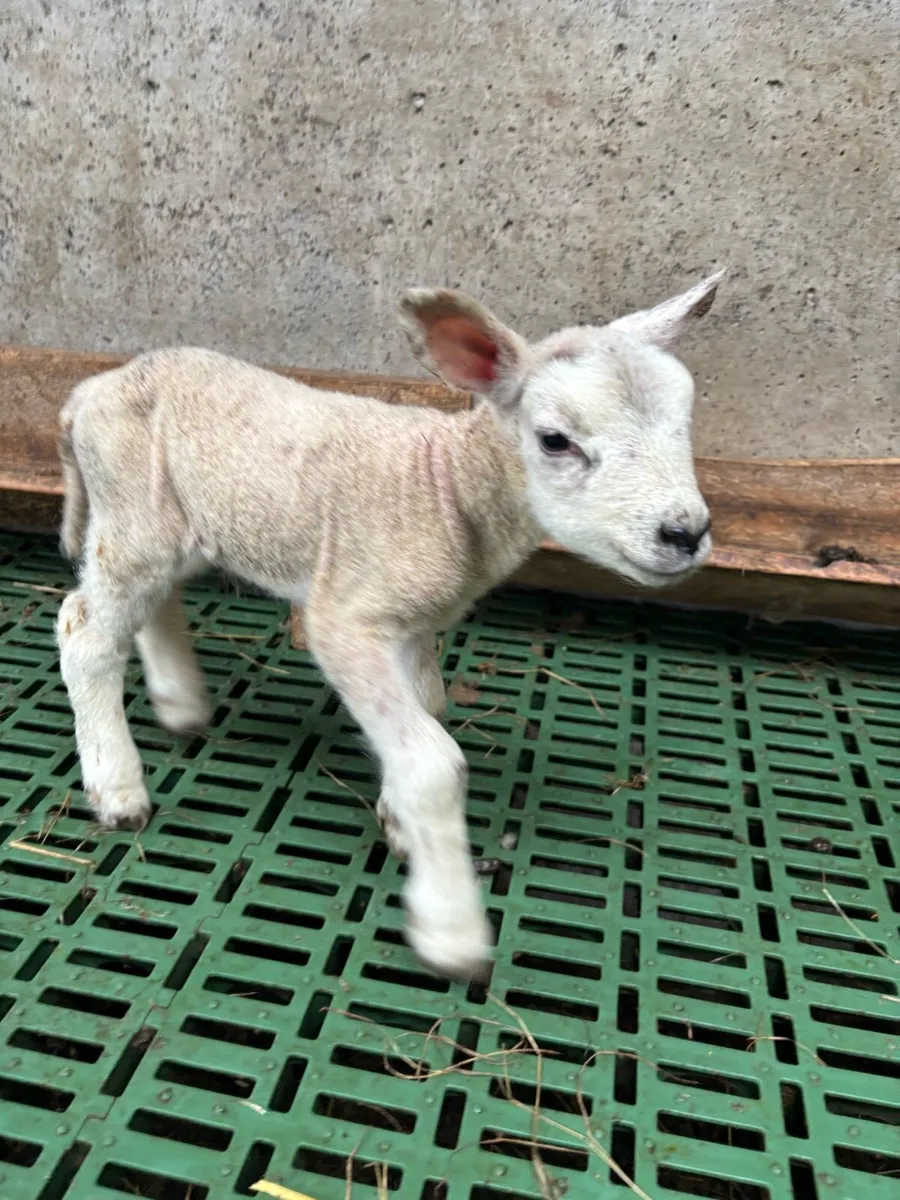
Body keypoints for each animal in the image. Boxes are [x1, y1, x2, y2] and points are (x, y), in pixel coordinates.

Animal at [56, 270, 724, 980]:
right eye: (554, 440)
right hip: (136, 510)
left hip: (176, 520)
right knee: (84, 631)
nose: (686, 533)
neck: (446, 487)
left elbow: (426, 707)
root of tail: (92, 388)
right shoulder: (344, 616)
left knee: (149, 601)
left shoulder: (413, 622)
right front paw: (450, 928)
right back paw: (118, 789)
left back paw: (180, 704)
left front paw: (399, 818)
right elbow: (433, 759)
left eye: (684, 423)